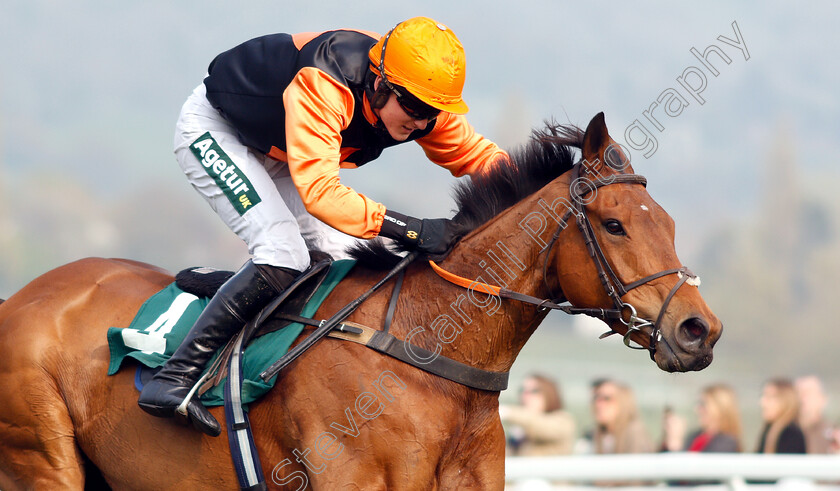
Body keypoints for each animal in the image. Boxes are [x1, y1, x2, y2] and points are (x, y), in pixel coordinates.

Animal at [0, 113, 720, 490]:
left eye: (667, 222)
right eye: (615, 225)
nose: (698, 329)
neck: (428, 354)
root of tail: (25, 297)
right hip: (41, 459)